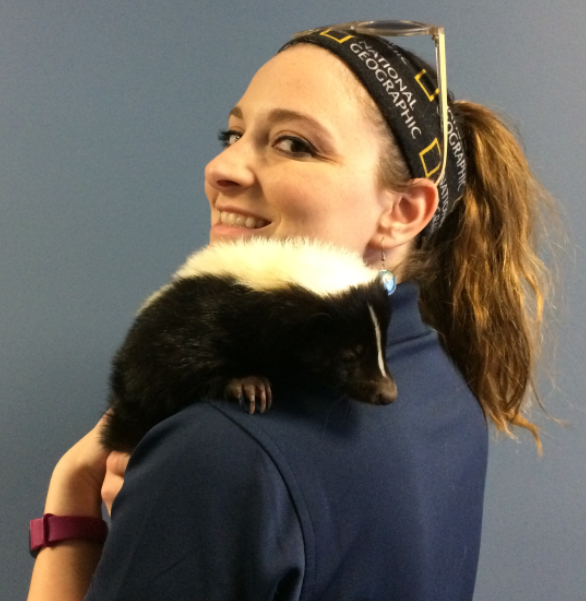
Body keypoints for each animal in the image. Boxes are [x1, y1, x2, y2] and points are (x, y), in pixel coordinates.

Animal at [101, 237, 396, 452]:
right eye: (348, 355)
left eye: (382, 347)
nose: (388, 394)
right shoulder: (198, 318)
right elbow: (184, 363)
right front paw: (249, 385)